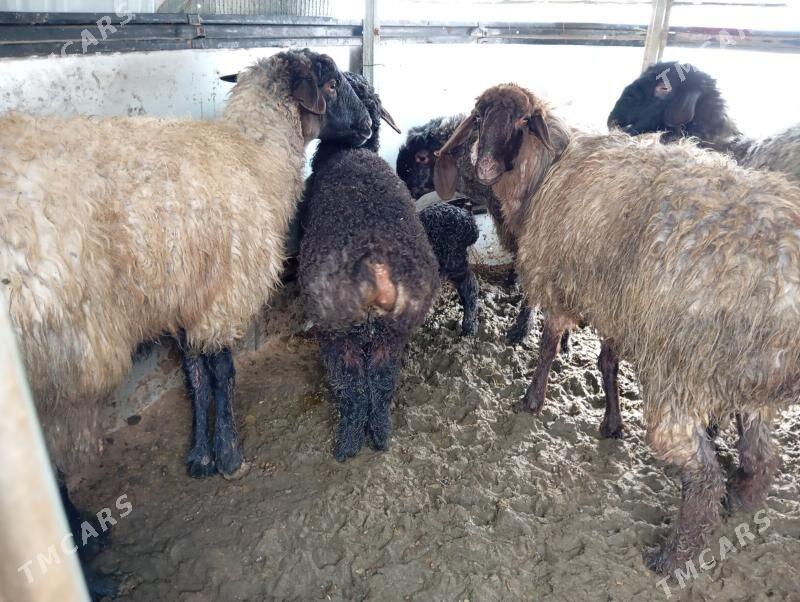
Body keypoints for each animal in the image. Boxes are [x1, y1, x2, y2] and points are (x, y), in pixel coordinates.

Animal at [299, 73, 439, 461]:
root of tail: (375, 264)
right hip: (393, 332)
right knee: (381, 381)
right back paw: (380, 436)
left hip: (336, 331)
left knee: (351, 388)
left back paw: (346, 444)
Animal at [435, 83, 800, 575]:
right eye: (479, 117)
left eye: (522, 121)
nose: (485, 167)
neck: (547, 171)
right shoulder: (612, 300)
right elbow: (606, 360)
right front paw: (610, 421)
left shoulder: (562, 282)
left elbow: (548, 345)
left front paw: (532, 399)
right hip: (749, 377)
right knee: (762, 455)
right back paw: (741, 499)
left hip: (683, 370)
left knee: (703, 475)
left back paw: (672, 557)